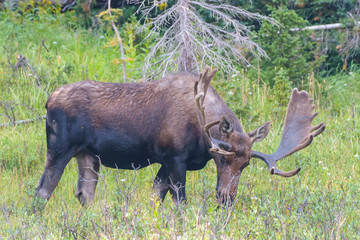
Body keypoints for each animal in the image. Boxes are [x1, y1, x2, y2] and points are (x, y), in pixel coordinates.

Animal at [35, 67, 324, 206]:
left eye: (246, 165)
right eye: (222, 158)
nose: (226, 199)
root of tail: (48, 100)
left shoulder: (165, 162)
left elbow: (155, 199)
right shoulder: (175, 159)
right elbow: (180, 204)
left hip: (87, 155)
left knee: (85, 194)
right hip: (59, 148)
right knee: (42, 191)